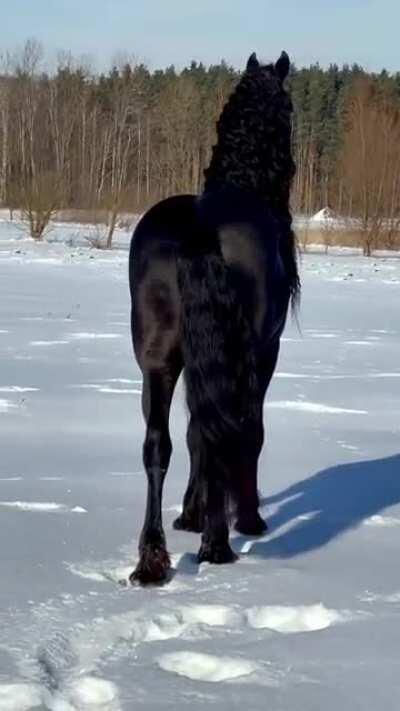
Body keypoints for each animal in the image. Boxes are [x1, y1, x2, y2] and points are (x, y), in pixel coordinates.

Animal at [128, 51, 300, 585]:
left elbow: (192, 433)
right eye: (290, 108)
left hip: (158, 361)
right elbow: (250, 431)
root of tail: (200, 229)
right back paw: (218, 544)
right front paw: (246, 518)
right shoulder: (266, 353)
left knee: (158, 445)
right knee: (224, 432)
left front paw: (190, 514)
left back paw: (152, 560)